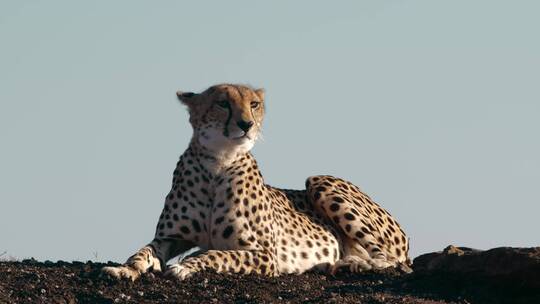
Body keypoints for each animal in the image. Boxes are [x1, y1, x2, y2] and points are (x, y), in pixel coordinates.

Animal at [101, 83, 412, 280]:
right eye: (222, 103)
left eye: (254, 104)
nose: (246, 124)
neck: (218, 163)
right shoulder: (170, 237)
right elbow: (143, 251)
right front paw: (125, 269)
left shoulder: (264, 254)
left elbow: (219, 254)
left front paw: (186, 266)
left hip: (320, 180)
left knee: (393, 261)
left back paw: (353, 264)